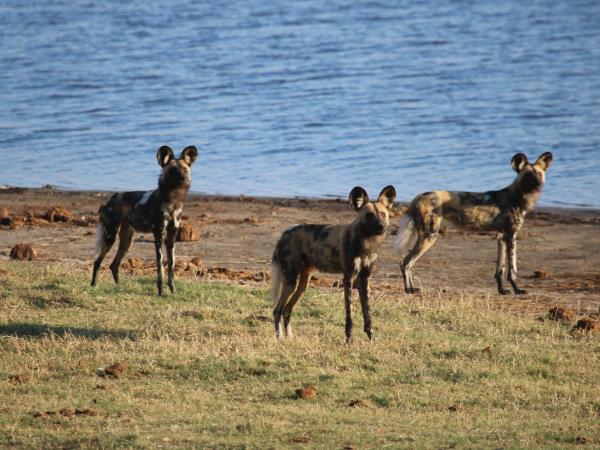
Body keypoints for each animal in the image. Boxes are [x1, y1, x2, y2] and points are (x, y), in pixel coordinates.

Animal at [90, 146, 197, 298]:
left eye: (184, 169)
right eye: (172, 170)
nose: (183, 179)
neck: (173, 200)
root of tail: (111, 199)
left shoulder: (171, 237)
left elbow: (171, 265)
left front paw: (173, 291)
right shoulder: (158, 235)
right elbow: (160, 267)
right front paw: (160, 292)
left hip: (127, 241)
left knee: (114, 265)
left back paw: (119, 287)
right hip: (110, 237)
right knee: (97, 261)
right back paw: (93, 285)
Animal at [270, 185, 394, 342]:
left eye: (383, 214)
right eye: (369, 215)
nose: (381, 226)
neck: (365, 243)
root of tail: (285, 232)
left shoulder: (364, 280)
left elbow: (368, 314)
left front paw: (371, 338)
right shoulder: (348, 279)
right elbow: (349, 316)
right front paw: (349, 340)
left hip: (302, 284)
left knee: (287, 310)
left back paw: (290, 338)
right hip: (291, 281)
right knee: (277, 310)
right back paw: (279, 338)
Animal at [396, 152, 556, 296]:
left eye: (539, 174)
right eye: (528, 175)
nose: (539, 184)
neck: (517, 197)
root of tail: (419, 196)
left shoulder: (501, 237)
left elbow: (500, 269)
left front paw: (502, 290)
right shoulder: (511, 236)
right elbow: (512, 269)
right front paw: (517, 289)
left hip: (425, 235)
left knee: (406, 262)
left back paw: (412, 288)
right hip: (430, 235)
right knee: (406, 262)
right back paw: (409, 290)